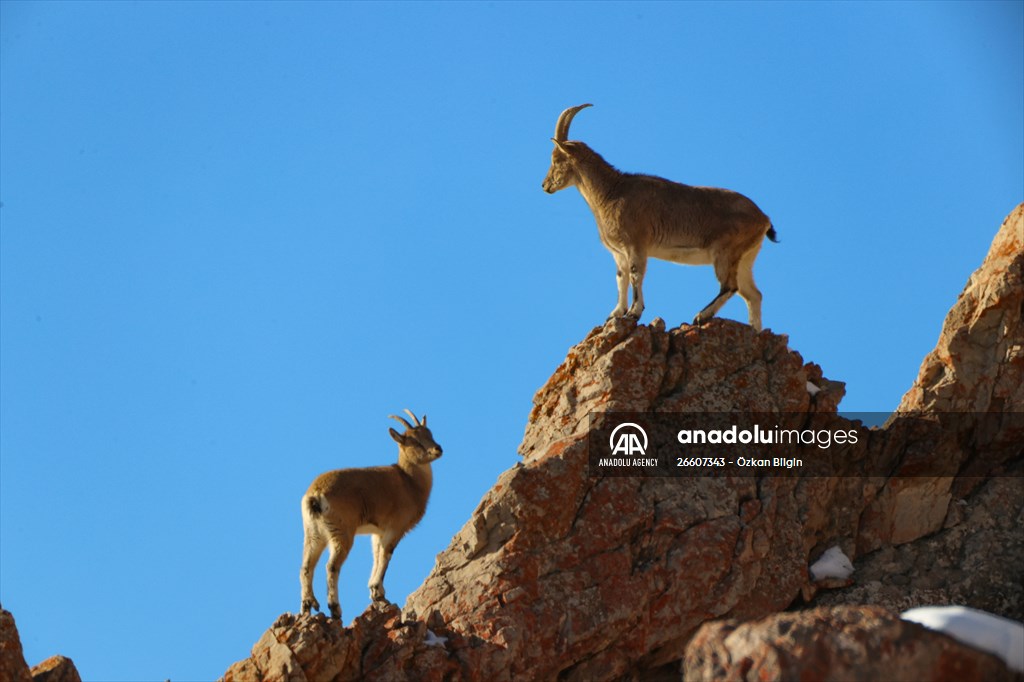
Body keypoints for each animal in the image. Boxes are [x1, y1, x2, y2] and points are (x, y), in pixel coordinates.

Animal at [299, 409, 442, 620]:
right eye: (414, 440)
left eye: (430, 434)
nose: (438, 449)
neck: (409, 482)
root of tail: (315, 495)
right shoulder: (395, 528)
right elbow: (386, 555)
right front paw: (378, 592)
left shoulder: (377, 532)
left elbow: (376, 554)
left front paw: (374, 591)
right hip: (341, 533)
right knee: (331, 566)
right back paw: (334, 608)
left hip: (314, 534)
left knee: (306, 567)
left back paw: (307, 606)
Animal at [542, 103, 778, 331]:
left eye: (556, 159)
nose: (545, 185)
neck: (612, 192)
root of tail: (763, 218)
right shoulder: (619, 253)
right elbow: (621, 278)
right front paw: (615, 314)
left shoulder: (636, 244)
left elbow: (636, 275)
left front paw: (634, 313)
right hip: (745, 258)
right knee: (753, 295)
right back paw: (755, 330)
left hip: (726, 252)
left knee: (730, 286)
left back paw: (701, 316)